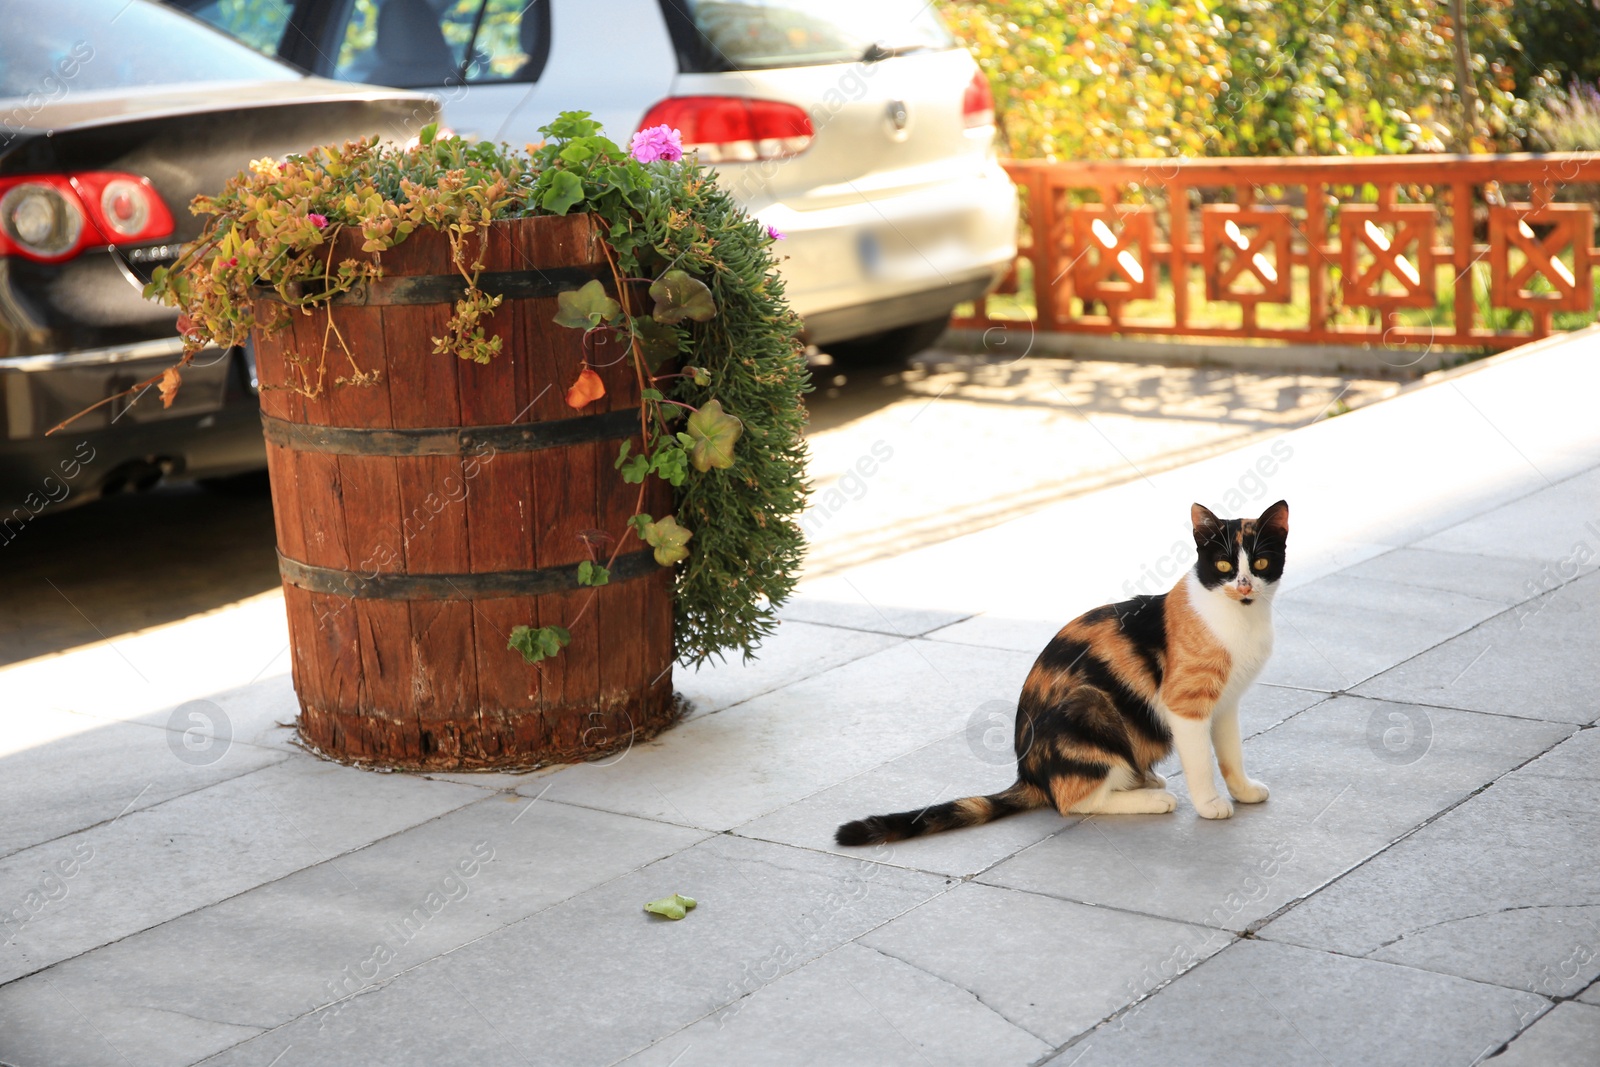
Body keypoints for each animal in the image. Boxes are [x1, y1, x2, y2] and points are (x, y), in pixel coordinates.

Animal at [838, 502, 1286, 851]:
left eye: (1261, 563)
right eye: (1224, 565)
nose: (1244, 585)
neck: (1240, 620)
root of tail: (1028, 775)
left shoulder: (1226, 703)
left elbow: (1230, 754)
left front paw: (1243, 791)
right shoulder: (1185, 705)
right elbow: (1200, 761)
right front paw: (1210, 804)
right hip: (1088, 706)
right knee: (1071, 800)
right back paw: (1150, 798)